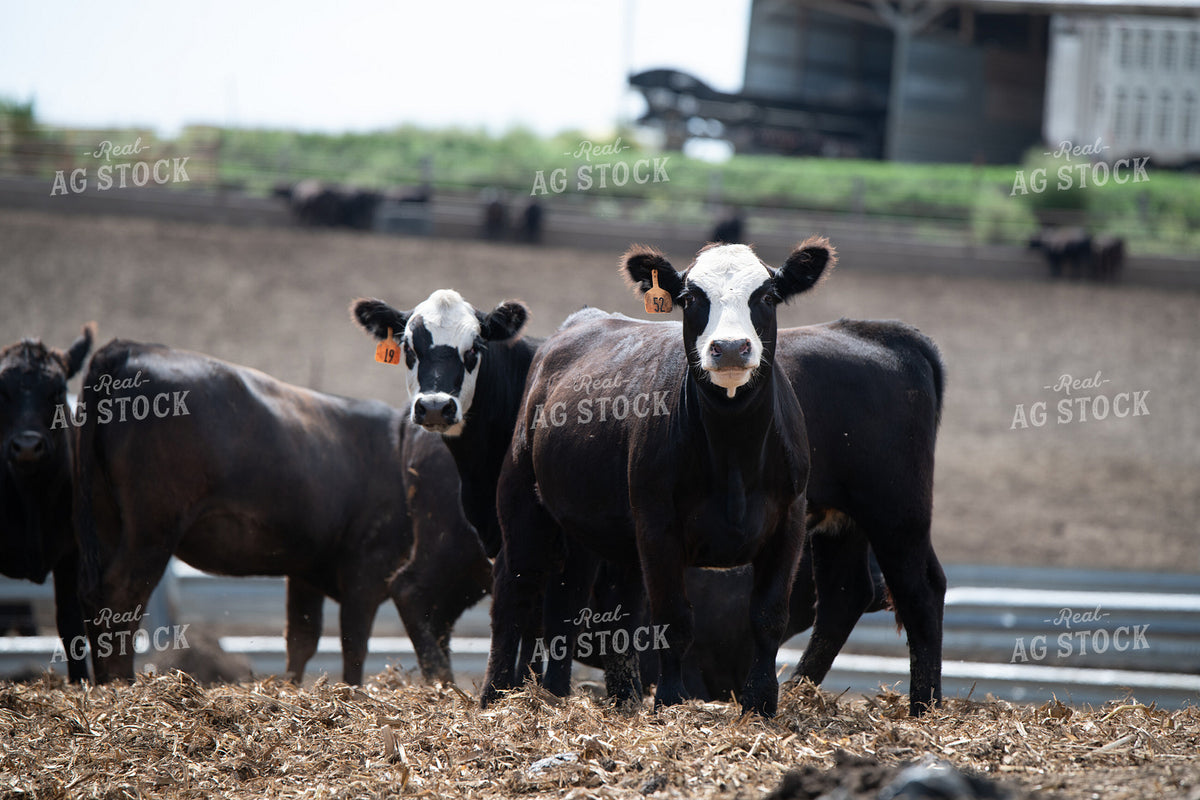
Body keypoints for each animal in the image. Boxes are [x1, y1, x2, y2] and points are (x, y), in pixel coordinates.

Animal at [0, 325, 94, 682]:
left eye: (57, 391)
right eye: (2, 391)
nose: (27, 446)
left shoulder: (73, 554)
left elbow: (71, 623)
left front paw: (81, 682)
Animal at [74, 339, 488, 685]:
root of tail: (129, 348)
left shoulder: (305, 571)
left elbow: (301, 639)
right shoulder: (367, 571)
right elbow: (354, 645)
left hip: (108, 521)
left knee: (96, 600)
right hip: (152, 528)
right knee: (122, 597)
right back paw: (121, 685)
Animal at [483, 240, 832, 717]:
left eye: (766, 296)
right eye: (691, 298)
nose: (730, 347)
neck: (733, 455)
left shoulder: (789, 521)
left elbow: (767, 616)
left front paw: (760, 704)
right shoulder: (657, 525)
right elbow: (673, 618)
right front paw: (669, 701)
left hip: (596, 533)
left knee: (573, 604)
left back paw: (581, 695)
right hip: (522, 505)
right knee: (512, 592)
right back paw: (495, 695)